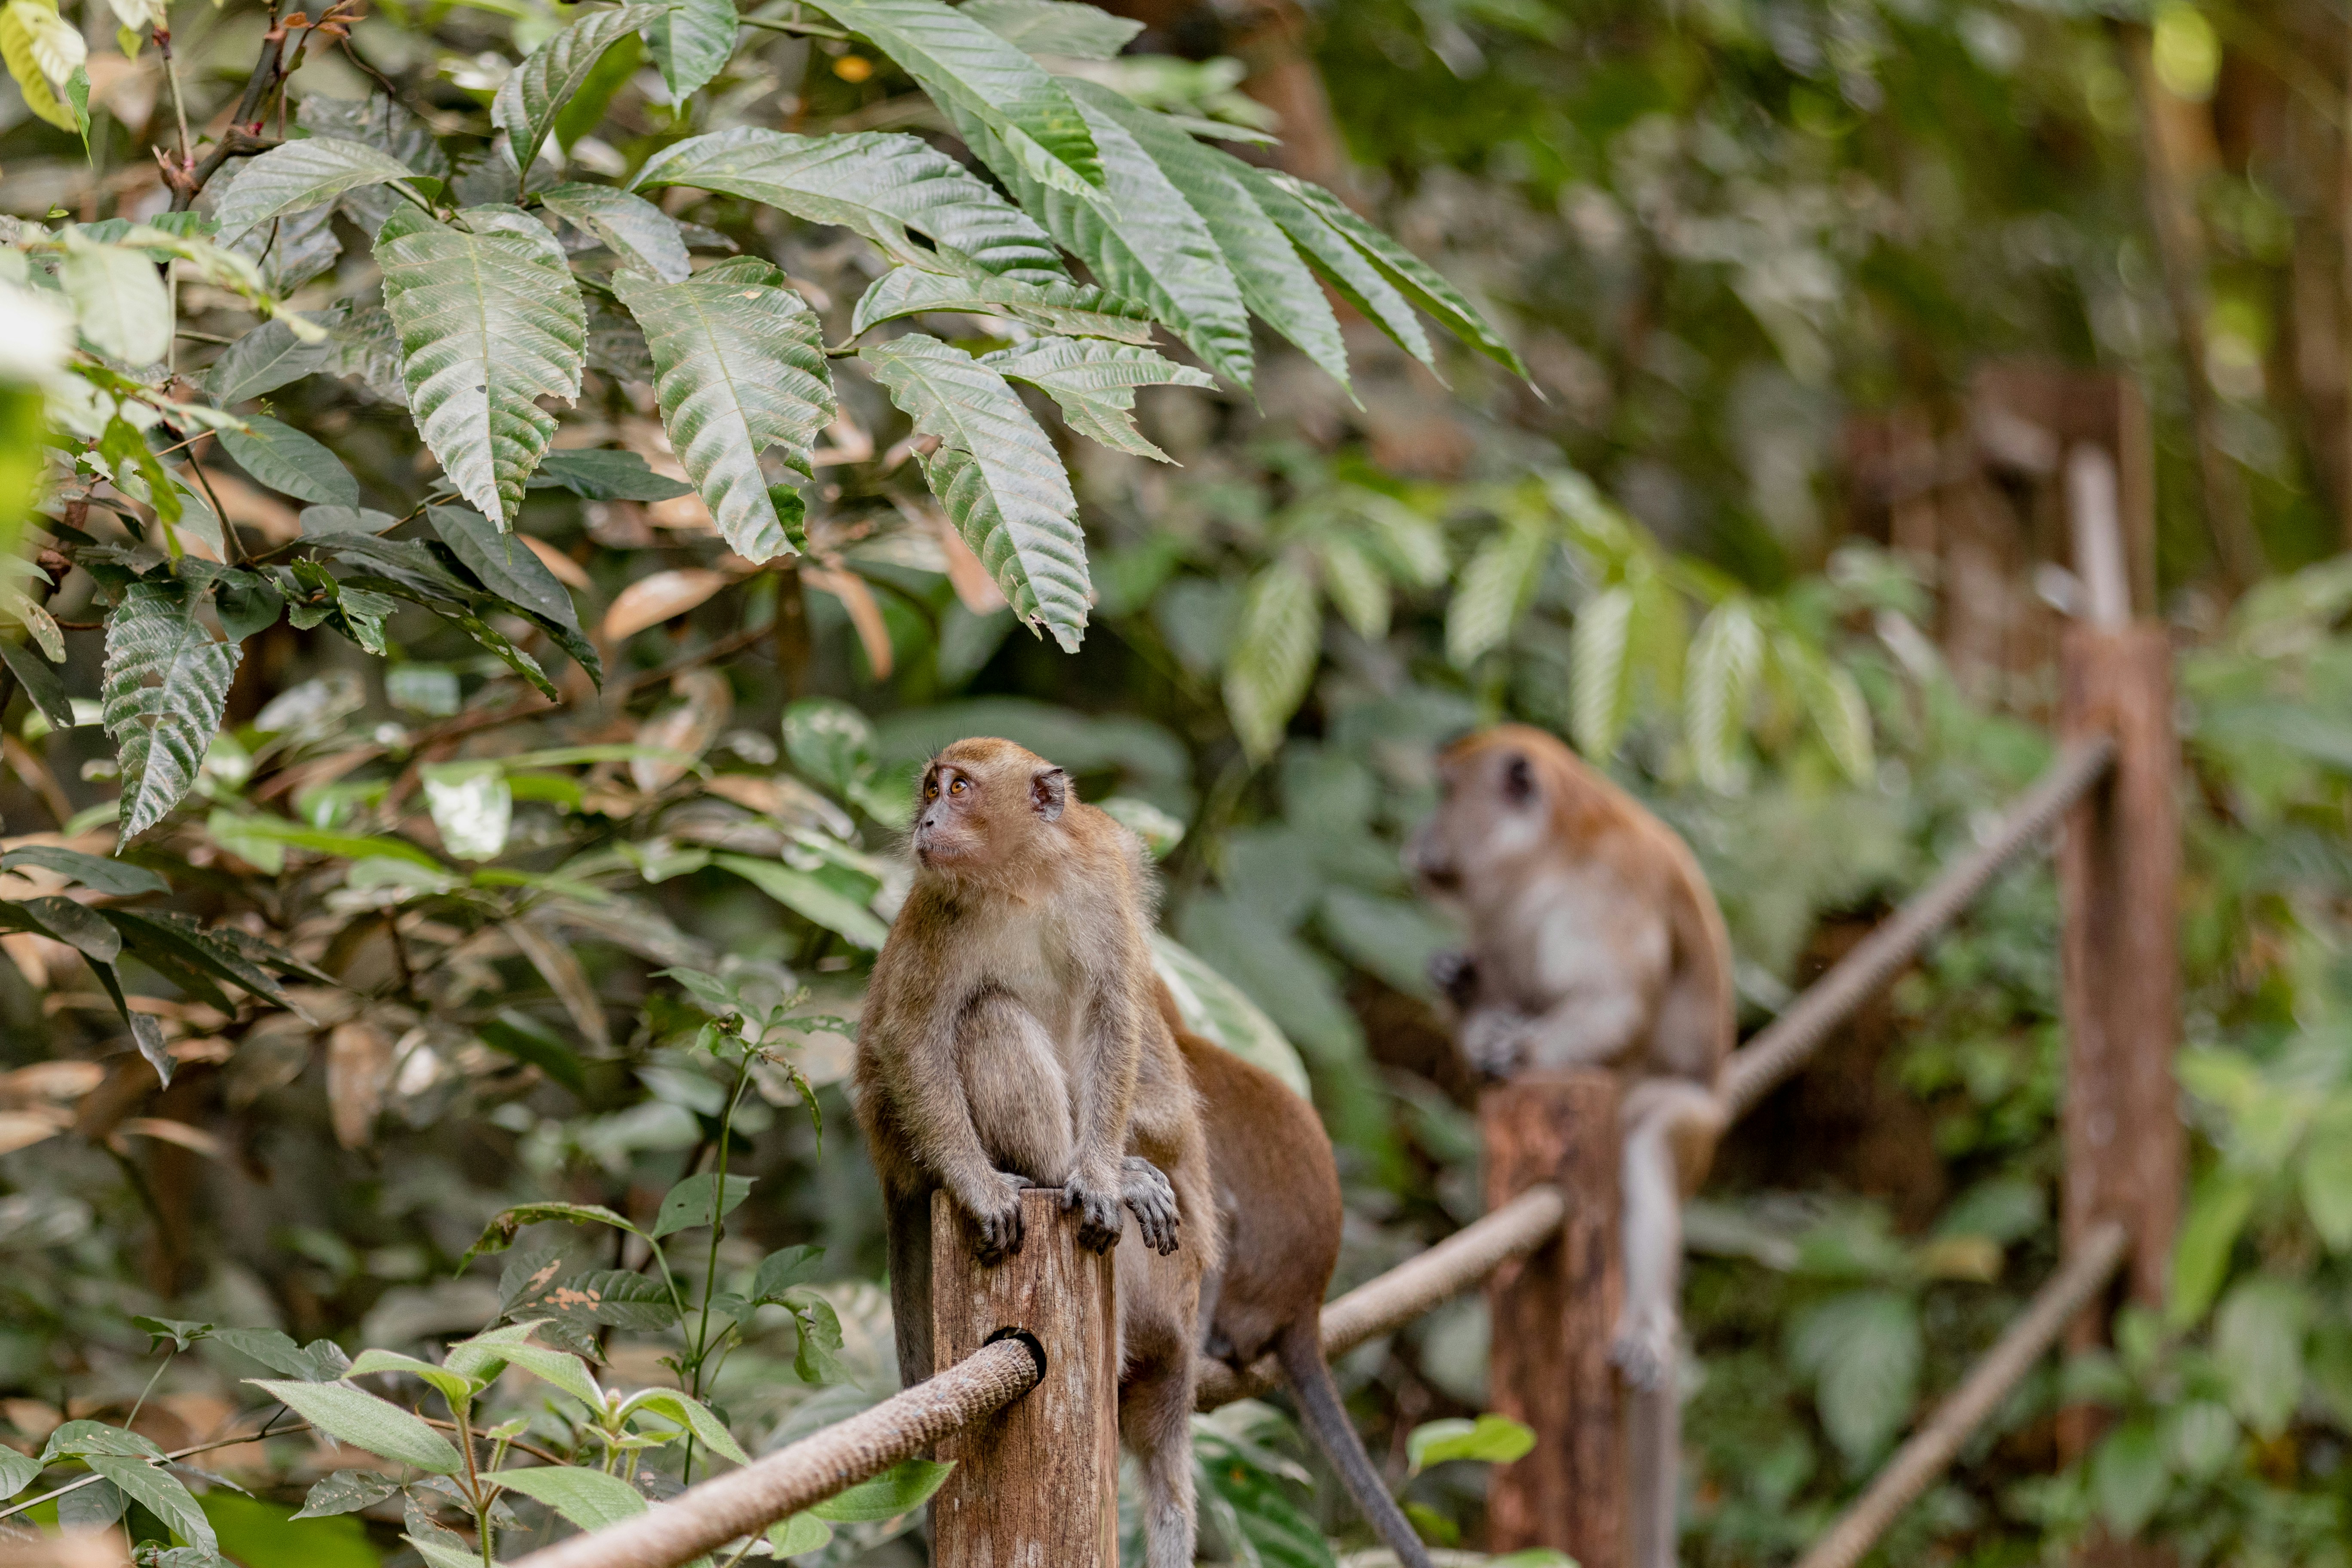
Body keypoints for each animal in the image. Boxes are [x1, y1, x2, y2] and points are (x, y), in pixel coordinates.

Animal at [854, 737, 1215, 1568]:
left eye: (958, 789)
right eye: (931, 788)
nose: (925, 820)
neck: (1019, 881)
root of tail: (889, 1155)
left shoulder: (1100, 885)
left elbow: (1114, 1010)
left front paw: (1102, 1174)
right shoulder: (937, 909)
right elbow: (908, 1035)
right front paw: (984, 1187)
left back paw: (1096, 1177)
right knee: (987, 1015)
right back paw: (1051, 1175)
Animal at [1405, 724, 1733, 1568]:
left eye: (1446, 794)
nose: (1418, 838)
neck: (1543, 858)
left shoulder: (1607, 892)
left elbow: (1615, 1005)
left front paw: (1512, 1044)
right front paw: (1470, 1002)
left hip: (1698, 1130)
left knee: (1648, 1138)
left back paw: (1647, 1322)